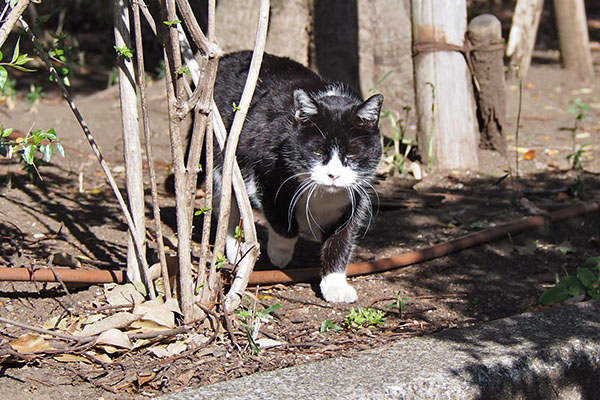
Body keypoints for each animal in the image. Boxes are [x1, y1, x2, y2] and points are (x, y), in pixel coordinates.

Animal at [211, 51, 382, 302]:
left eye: (351, 154)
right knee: (231, 201)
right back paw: (236, 248)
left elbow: (341, 239)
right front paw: (279, 253)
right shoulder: (266, 172)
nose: (333, 175)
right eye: (318, 152)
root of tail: (229, 56)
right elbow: (281, 218)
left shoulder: (354, 197)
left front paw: (335, 285)